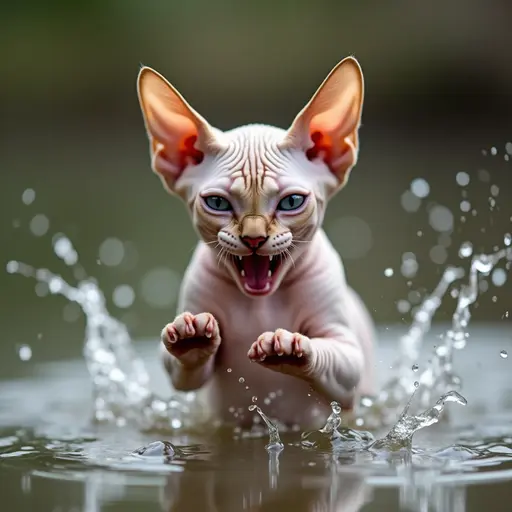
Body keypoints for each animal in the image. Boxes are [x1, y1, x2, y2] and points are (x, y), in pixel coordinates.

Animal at [136, 56, 376, 428]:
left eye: (291, 202)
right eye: (217, 203)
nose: (253, 237)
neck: (260, 304)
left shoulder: (348, 361)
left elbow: (336, 360)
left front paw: (289, 348)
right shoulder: (184, 374)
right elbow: (184, 372)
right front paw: (193, 338)